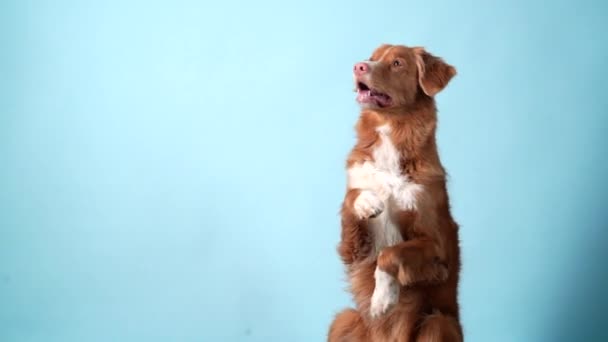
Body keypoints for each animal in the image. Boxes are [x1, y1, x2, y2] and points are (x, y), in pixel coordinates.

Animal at [330, 45, 464, 342]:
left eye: (397, 63)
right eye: (371, 57)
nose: (358, 66)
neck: (390, 128)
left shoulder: (437, 253)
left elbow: (391, 252)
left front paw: (383, 298)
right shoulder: (352, 250)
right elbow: (351, 197)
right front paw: (367, 201)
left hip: (439, 323)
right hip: (343, 319)